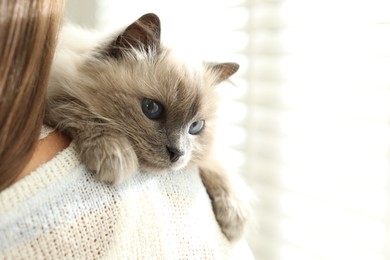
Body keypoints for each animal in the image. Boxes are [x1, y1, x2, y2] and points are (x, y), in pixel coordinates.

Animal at [45, 12, 250, 242]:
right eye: (151, 109)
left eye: (195, 127)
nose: (177, 153)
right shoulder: (51, 97)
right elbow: (82, 111)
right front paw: (116, 158)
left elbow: (216, 162)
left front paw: (234, 216)